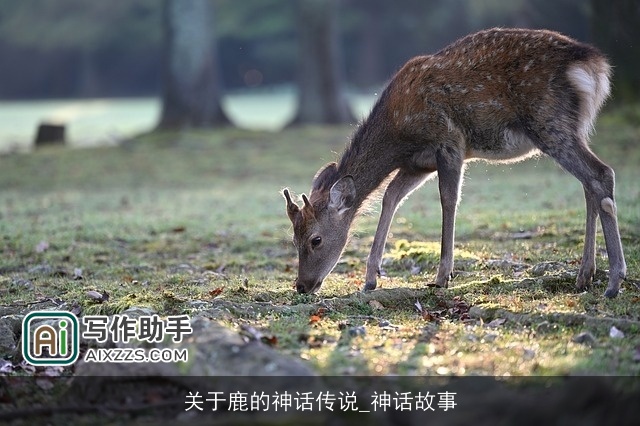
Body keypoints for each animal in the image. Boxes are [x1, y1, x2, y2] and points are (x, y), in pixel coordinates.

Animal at [283, 28, 626, 298]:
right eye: (293, 238)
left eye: (315, 240)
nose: (301, 286)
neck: (398, 134)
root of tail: (594, 65)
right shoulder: (417, 164)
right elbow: (390, 197)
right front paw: (371, 278)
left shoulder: (449, 141)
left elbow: (448, 199)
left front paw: (442, 276)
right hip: (575, 127)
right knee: (588, 184)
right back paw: (585, 275)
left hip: (549, 122)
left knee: (601, 174)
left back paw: (614, 280)